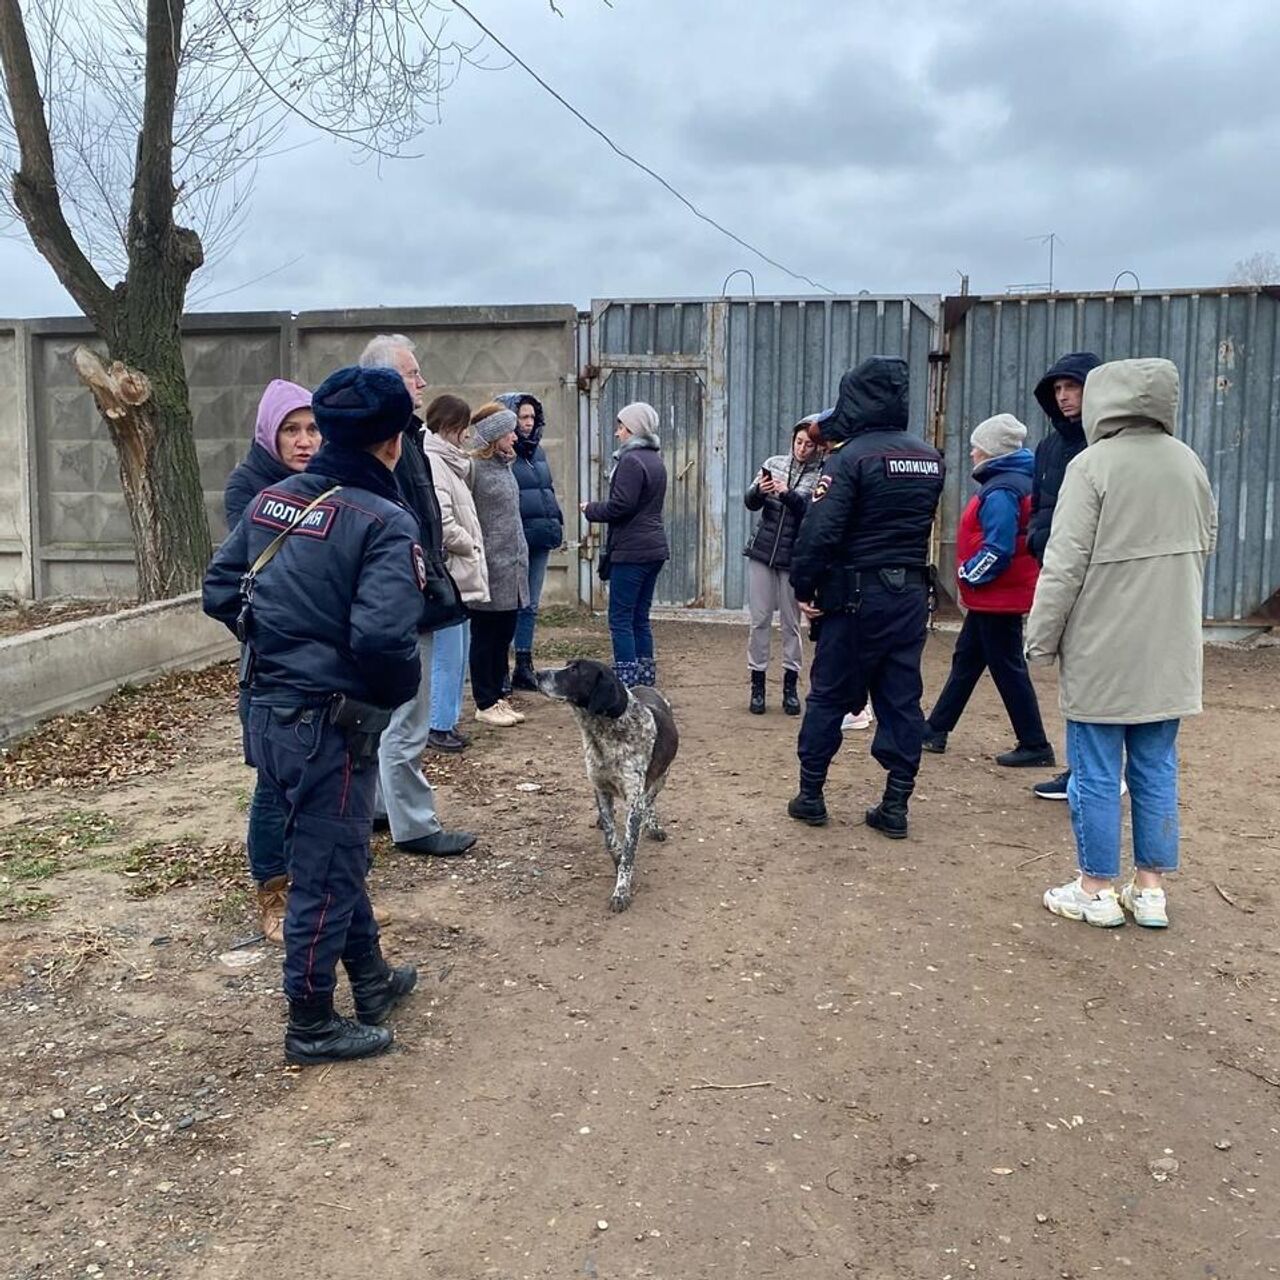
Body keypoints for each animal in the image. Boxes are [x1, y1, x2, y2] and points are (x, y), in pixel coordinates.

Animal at [532, 660, 675, 911]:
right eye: (568, 664)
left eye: (575, 670)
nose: (537, 673)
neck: (605, 732)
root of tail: (645, 686)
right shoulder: (601, 788)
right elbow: (611, 839)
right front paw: (616, 861)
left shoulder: (634, 801)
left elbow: (629, 849)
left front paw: (621, 891)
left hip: (662, 777)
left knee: (650, 801)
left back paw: (653, 825)